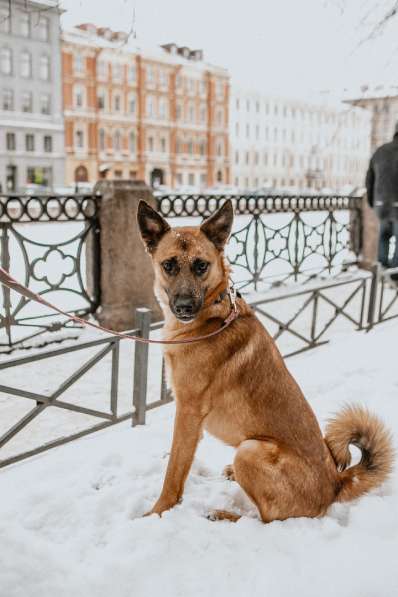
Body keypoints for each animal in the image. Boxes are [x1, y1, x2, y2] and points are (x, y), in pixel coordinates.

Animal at [138, 200, 394, 520]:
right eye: (169, 265)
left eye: (201, 265)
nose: (184, 307)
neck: (212, 314)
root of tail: (335, 483)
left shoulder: (188, 412)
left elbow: (174, 471)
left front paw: (157, 513)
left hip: (250, 450)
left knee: (265, 518)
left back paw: (225, 515)